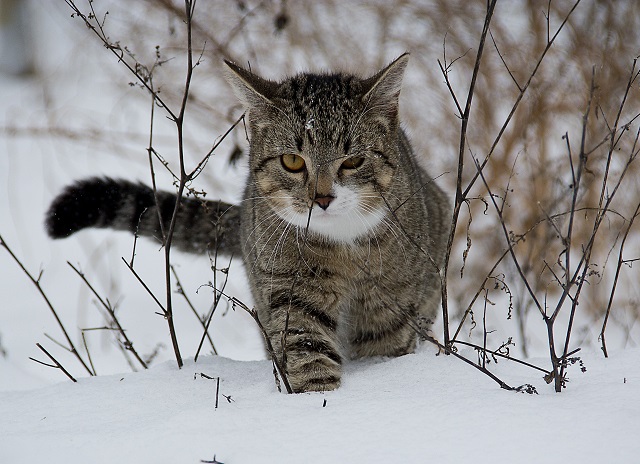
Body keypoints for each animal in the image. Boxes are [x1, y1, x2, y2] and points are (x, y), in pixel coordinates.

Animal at [46, 55, 450, 396]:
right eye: (292, 161)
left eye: (353, 161)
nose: (322, 199)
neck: (342, 246)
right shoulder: (290, 289)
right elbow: (306, 349)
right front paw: (318, 399)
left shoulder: (391, 303)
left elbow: (384, 346)